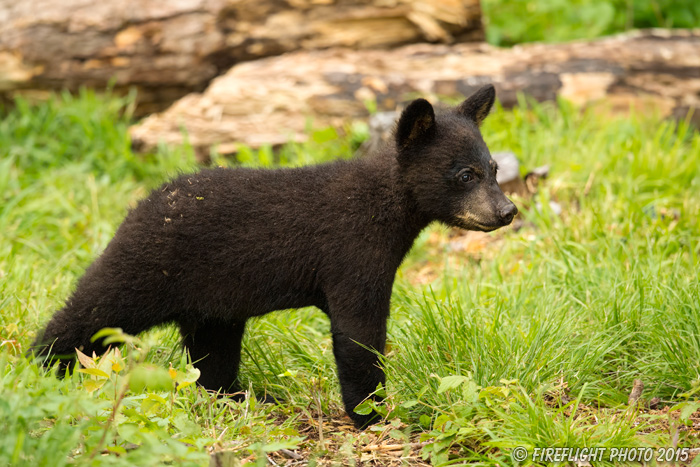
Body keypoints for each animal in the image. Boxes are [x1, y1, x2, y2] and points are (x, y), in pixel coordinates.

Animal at [32, 86, 516, 430]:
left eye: (494, 169)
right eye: (465, 175)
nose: (507, 211)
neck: (385, 208)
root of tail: (139, 206)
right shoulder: (353, 253)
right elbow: (357, 335)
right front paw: (373, 414)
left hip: (213, 303)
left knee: (212, 357)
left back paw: (242, 398)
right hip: (144, 270)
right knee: (91, 311)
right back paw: (41, 367)